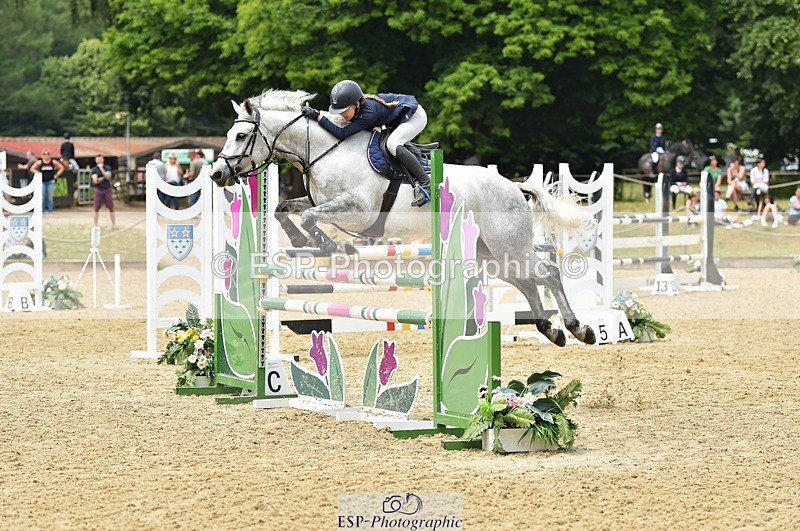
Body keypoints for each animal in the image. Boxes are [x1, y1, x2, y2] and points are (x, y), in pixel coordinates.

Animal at [209, 89, 596, 346]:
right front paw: (305, 241)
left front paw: (331, 246)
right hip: (492, 254)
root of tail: (514, 187)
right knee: (528, 282)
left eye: (240, 135)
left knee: (547, 274)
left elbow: (312, 218)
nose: (216, 174)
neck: (323, 150)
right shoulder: (320, 201)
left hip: (509, 245)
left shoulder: (357, 210)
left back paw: (579, 328)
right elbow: (285, 210)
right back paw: (552, 330)